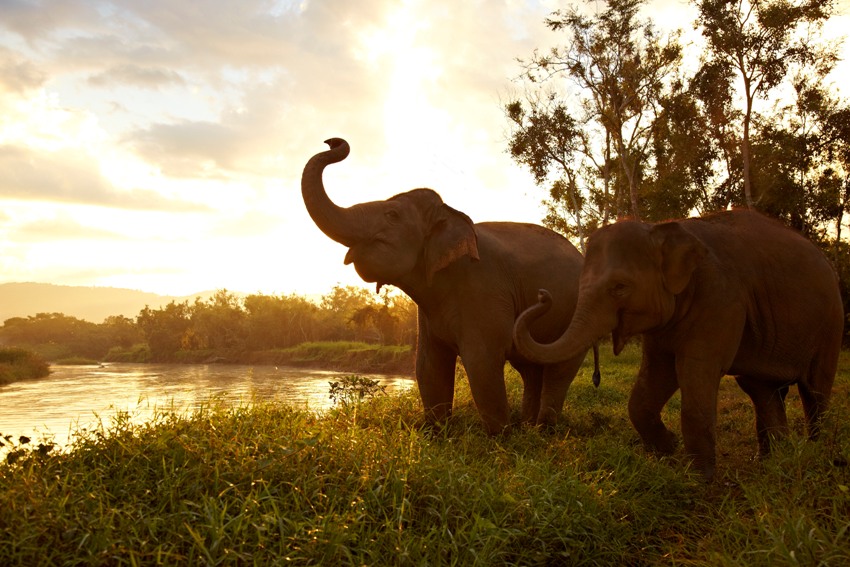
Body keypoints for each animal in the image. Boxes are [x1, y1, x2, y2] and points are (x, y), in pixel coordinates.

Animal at [301, 138, 599, 434]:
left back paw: (543, 430)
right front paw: (436, 433)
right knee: (531, 368)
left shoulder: (483, 288)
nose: (332, 141)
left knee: (558, 369)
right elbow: (428, 365)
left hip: (576, 315)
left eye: (392, 215)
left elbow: (481, 361)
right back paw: (529, 427)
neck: (451, 214)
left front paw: (500, 437)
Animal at [513, 209, 843, 480]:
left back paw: (817, 456)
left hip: (830, 325)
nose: (543, 295)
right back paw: (771, 463)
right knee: (761, 389)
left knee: (814, 390)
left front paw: (700, 480)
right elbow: (655, 377)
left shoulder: (720, 298)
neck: (659, 228)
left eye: (619, 287)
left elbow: (695, 371)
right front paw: (668, 449)